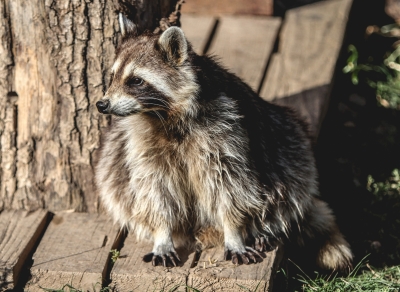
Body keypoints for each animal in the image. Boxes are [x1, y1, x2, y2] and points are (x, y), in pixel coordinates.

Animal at [94, 13, 354, 270]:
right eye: (112, 76)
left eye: (136, 81)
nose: (102, 104)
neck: (164, 115)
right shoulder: (141, 142)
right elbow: (155, 189)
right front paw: (162, 233)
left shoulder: (224, 129)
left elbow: (229, 185)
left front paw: (234, 231)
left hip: (289, 139)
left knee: (291, 180)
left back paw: (265, 226)